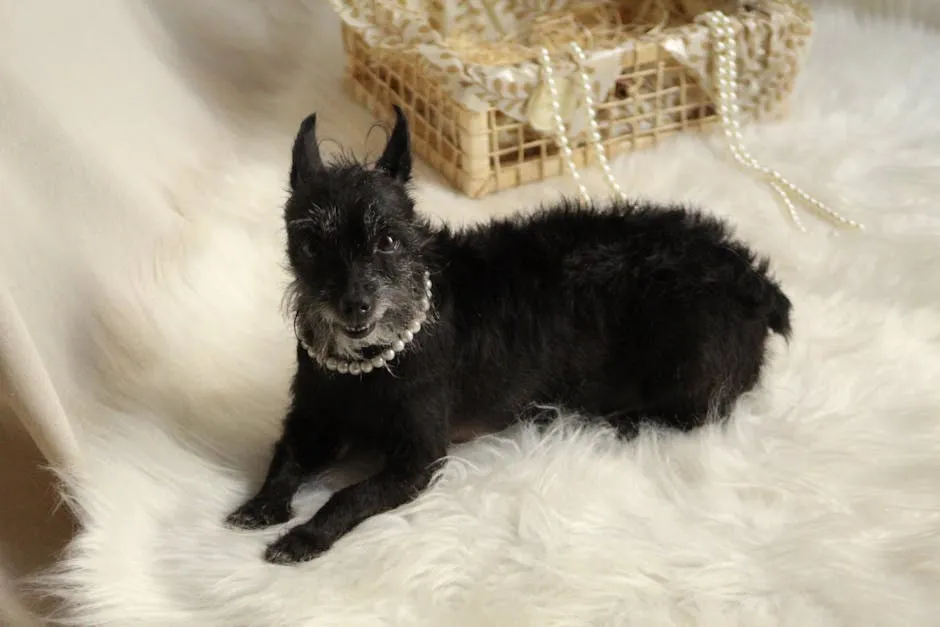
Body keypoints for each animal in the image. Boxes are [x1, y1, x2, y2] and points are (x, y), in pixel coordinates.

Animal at [228, 105, 792, 560]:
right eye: (309, 244)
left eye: (387, 240)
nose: (354, 305)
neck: (369, 363)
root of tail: (753, 280)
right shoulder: (313, 420)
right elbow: (284, 458)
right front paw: (261, 504)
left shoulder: (418, 458)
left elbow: (347, 495)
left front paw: (305, 536)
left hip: (688, 368)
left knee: (697, 413)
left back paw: (624, 420)